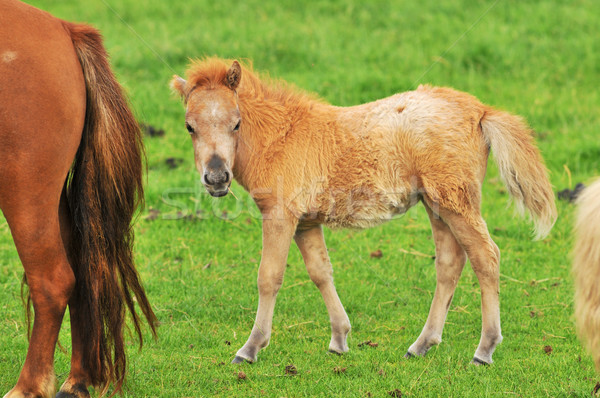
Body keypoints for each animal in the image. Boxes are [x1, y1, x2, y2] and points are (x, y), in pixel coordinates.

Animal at [0, 1, 157, 396]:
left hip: (25, 189)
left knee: (53, 280)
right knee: (85, 272)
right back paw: (77, 380)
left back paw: (29, 385)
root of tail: (64, 29)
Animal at [171, 57, 556, 366]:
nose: (217, 178)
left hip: (455, 201)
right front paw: (339, 339)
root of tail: (480, 111)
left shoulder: (280, 215)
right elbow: (321, 272)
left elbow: (269, 277)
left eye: (236, 123)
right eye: (189, 126)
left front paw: (250, 349)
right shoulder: (306, 223)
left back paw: (485, 349)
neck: (281, 137)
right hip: (437, 204)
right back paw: (421, 344)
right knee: (450, 264)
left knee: (485, 257)